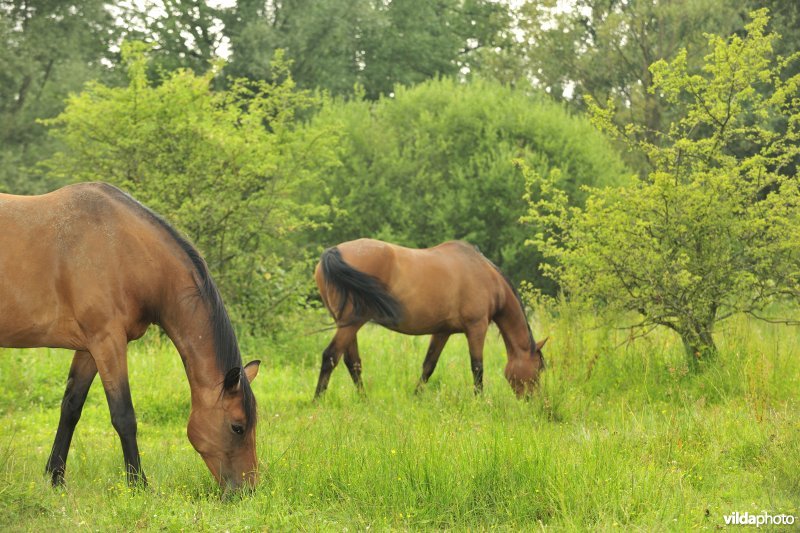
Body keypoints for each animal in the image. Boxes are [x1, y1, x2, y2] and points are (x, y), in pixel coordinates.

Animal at [0, 183, 260, 490]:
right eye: (237, 427)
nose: (248, 490)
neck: (122, 250)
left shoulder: (89, 348)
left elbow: (71, 408)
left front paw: (56, 478)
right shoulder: (108, 341)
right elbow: (124, 416)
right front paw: (138, 484)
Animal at [316, 239, 548, 396]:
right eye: (538, 370)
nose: (533, 400)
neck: (487, 278)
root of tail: (333, 251)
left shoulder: (442, 331)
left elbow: (428, 366)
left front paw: (416, 396)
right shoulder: (477, 327)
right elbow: (477, 367)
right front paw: (480, 400)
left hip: (348, 324)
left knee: (352, 362)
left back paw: (364, 399)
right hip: (352, 323)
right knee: (330, 356)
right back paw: (317, 400)